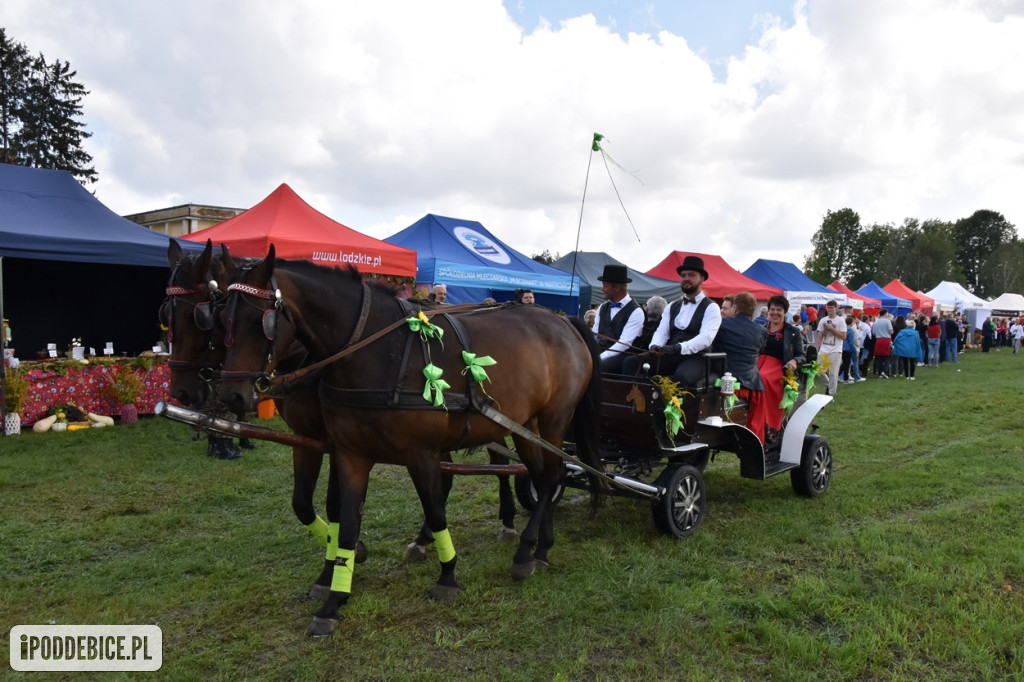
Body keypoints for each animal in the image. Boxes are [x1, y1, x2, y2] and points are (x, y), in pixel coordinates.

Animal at [216, 246, 598, 634]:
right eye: (221, 318)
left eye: (261, 322)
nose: (231, 395)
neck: (375, 349)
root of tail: (563, 320)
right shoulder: (344, 451)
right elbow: (342, 519)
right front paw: (334, 597)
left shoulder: (420, 453)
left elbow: (435, 510)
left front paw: (447, 576)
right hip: (524, 424)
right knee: (542, 475)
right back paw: (541, 549)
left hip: (554, 418)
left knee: (551, 476)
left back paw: (525, 551)